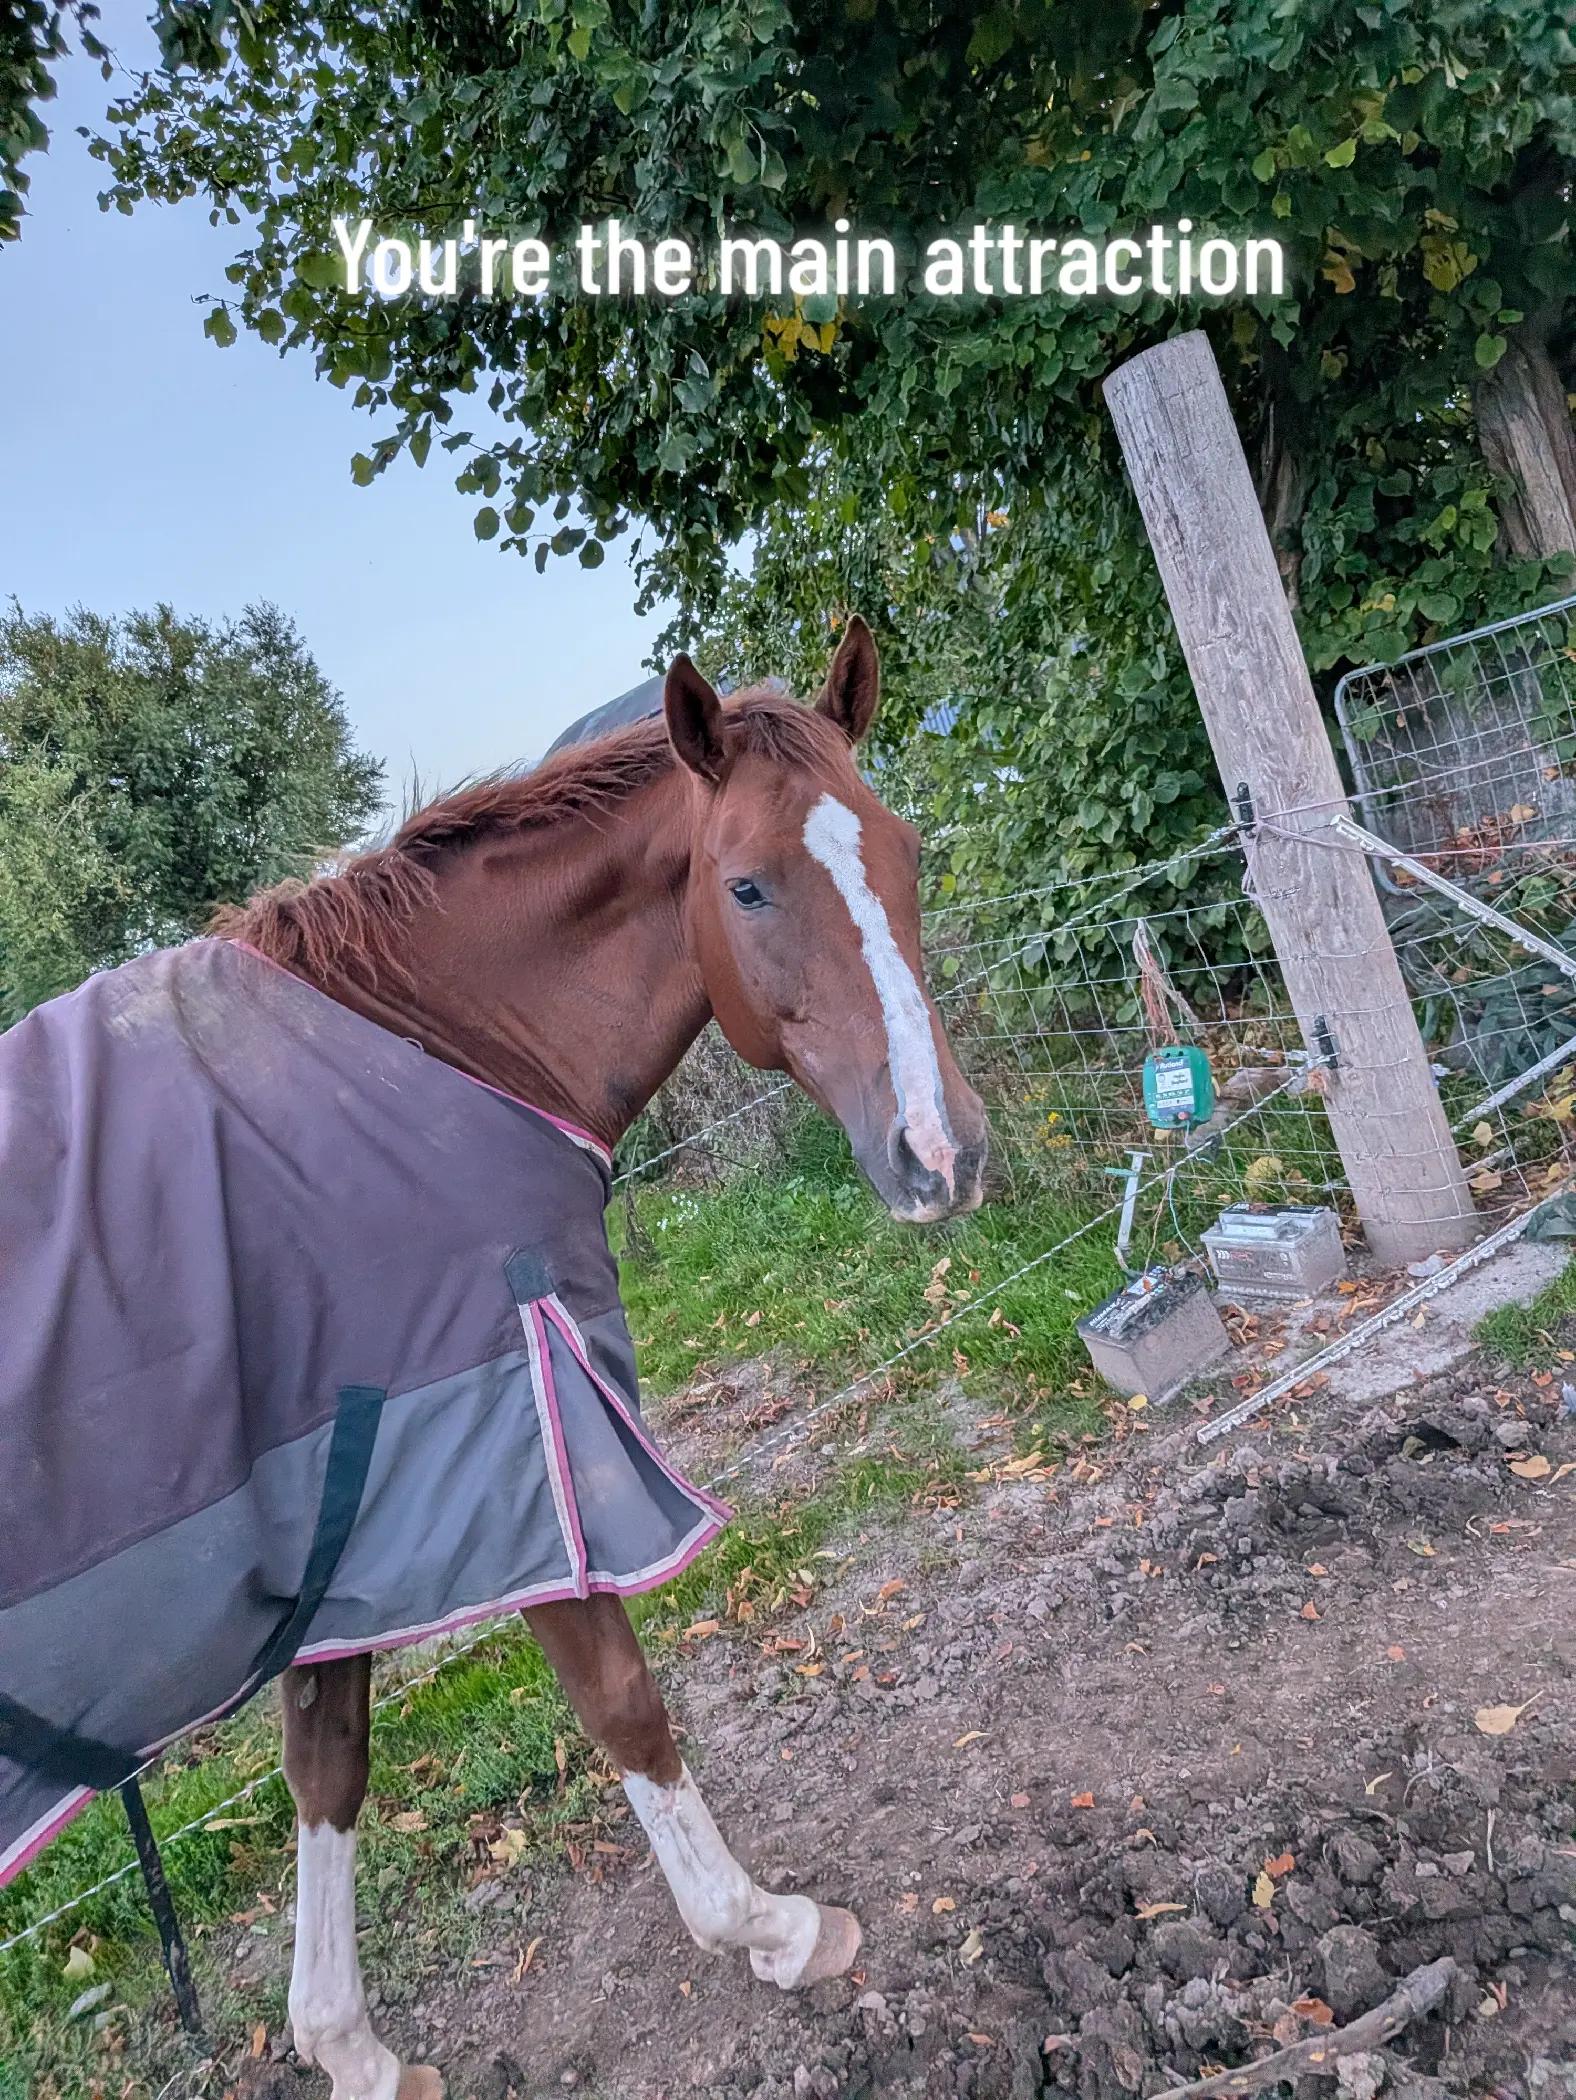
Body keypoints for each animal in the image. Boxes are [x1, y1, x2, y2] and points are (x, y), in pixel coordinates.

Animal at [0, 616, 988, 2100]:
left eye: (902, 850)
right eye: (747, 886)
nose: (944, 1151)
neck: (435, 1055)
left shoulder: (346, 1505)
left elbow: (328, 1768)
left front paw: (347, 2049)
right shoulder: (530, 1445)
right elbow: (624, 1703)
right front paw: (765, 1926)